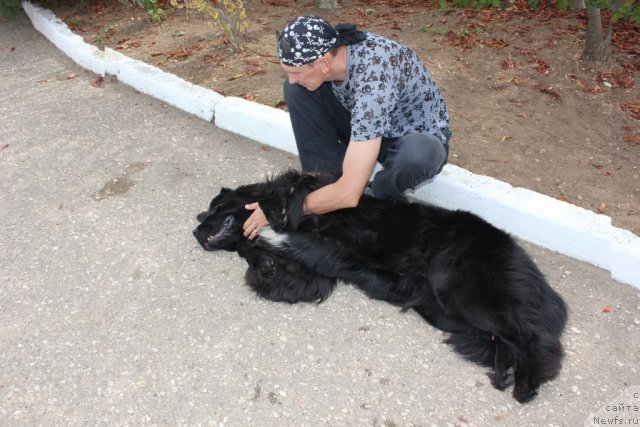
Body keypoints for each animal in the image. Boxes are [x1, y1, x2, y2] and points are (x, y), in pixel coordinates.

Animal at [192, 171, 568, 404]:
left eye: (215, 207)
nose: (195, 230)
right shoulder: (311, 275)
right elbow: (274, 266)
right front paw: (260, 259)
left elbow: (292, 188)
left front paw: (272, 210)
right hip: (444, 312)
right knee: (506, 336)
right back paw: (506, 373)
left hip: (459, 288)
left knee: (532, 336)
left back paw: (526, 384)